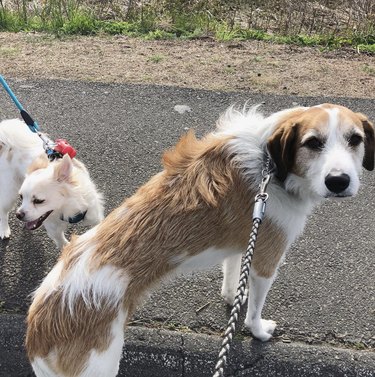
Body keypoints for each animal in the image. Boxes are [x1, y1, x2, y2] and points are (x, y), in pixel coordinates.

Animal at [0, 117, 103, 247]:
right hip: (8, 193)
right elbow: (64, 246)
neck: (68, 210)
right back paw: (4, 230)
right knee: (3, 211)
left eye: (38, 201)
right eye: (21, 196)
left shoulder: (95, 217)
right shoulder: (55, 231)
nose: (18, 215)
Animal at [25, 103, 374, 376]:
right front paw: (258, 331)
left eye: (355, 140)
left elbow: (233, 278)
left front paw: (233, 298)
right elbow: (255, 309)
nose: (339, 181)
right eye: (312, 143)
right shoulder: (267, 261)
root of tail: (38, 329)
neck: (268, 164)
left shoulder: (244, 243)